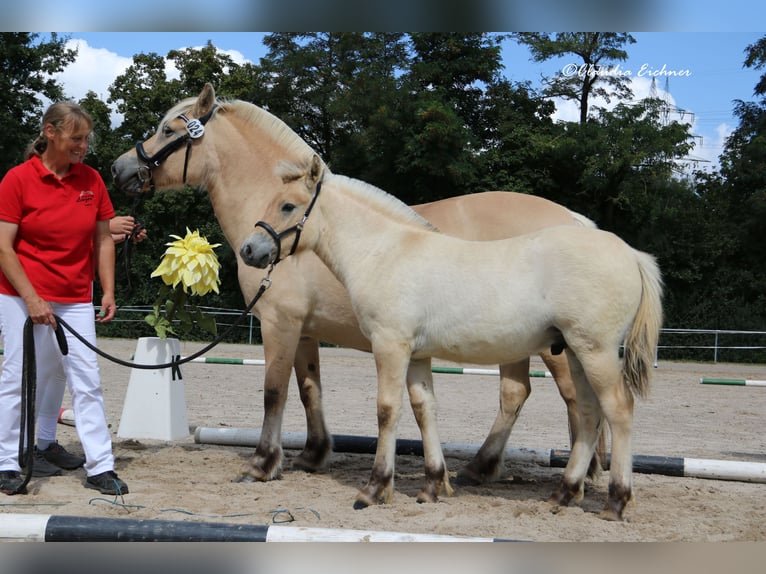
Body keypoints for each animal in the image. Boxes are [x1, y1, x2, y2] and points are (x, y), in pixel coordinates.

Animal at [109, 82, 608, 490]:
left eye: (167, 128)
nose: (119, 168)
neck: (297, 216)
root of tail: (575, 221)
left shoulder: (279, 323)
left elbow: (274, 392)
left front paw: (263, 463)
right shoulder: (305, 330)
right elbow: (309, 389)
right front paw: (313, 455)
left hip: (554, 347)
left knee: (574, 400)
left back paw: (576, 475)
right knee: (519, 395)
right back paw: (489, 468)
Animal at [242, 156, 664, 520]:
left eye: (288, 205)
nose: (249, 250)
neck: (386, 252)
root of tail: (631, 254)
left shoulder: (390, 346)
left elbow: (387, 410)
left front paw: (374, 490)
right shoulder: (416, 355)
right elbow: (424, 409)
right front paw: (431, 486)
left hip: (596, 352)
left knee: (618, 410)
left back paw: (615, 502)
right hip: (575, 353)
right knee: (591, 412)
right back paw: (563, 492)